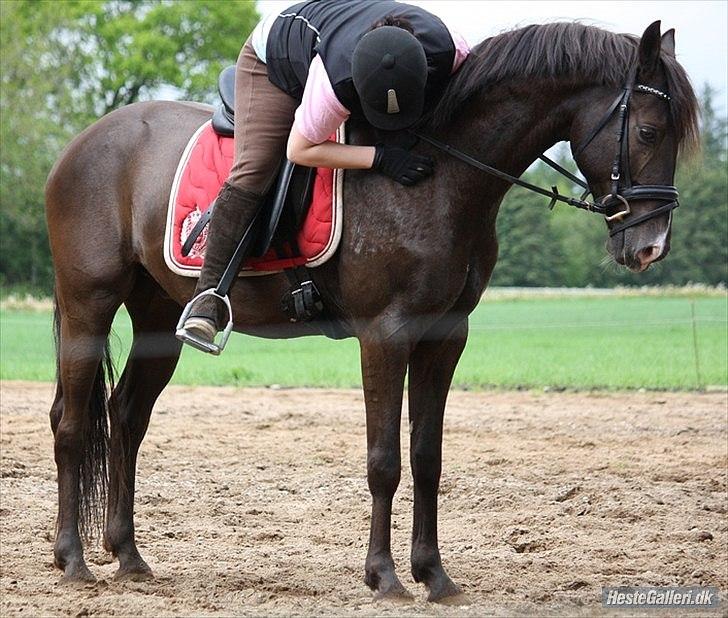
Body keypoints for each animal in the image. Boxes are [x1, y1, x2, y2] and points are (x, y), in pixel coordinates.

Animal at [45, 22, 700, 596]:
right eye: (648, 132)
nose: (651, 247)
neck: (442, 174)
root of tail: (80, 143)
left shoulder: (445, 335)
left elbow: (427, 457)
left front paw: (434, 574)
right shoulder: (386, 333)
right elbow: (384, 459)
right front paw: (383, 576)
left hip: (159, 320)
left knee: (126, 417)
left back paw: (129, 557)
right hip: (88, 305)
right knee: (72, 423)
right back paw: (73, 560)